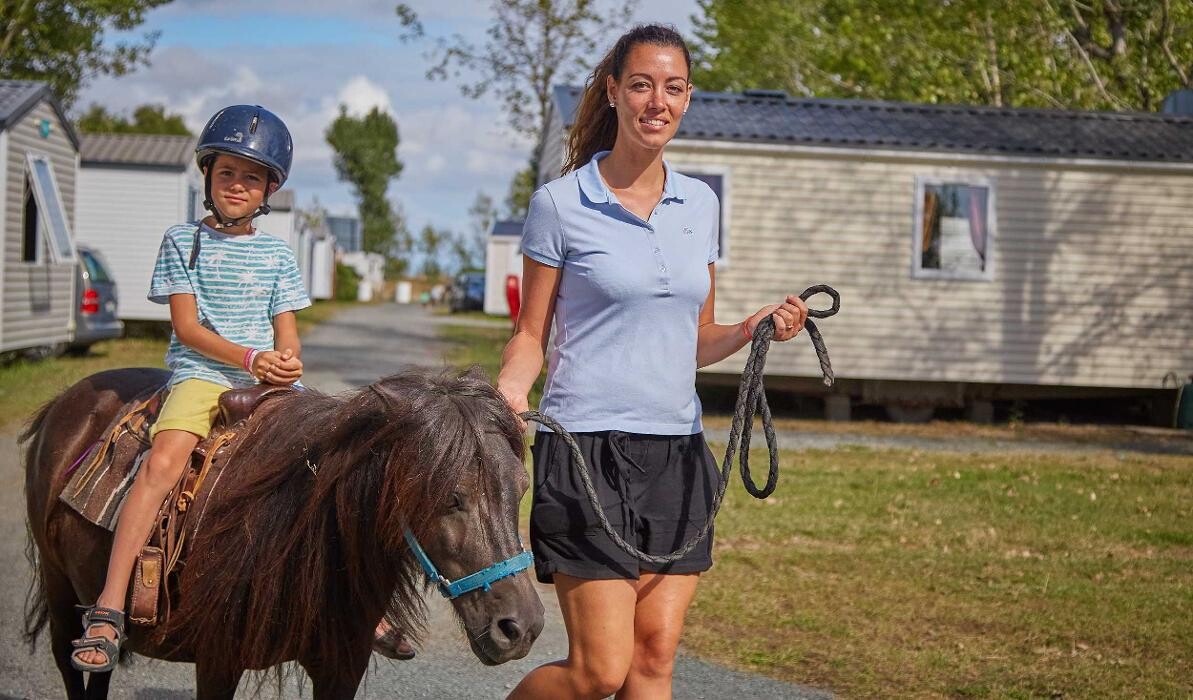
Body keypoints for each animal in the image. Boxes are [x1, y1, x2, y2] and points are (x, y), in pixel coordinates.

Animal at [23, 369, 546, 696]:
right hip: (61, 595)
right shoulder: (217, 663)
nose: (521, 628)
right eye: (451, 498)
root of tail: (64, 402)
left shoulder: (340, 668)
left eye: (521, 488)